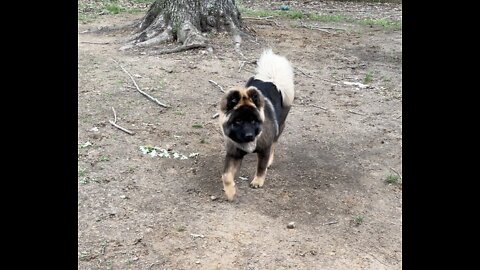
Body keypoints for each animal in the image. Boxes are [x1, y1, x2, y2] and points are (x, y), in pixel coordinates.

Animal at [219, 49, 294, 200]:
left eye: (253, 121)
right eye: (238, 121)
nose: (249, 135)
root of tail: (271, 79)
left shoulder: (264, 149)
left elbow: (261, 167)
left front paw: (258, 181)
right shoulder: (233, 153)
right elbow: (226, 176)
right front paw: (230, 192)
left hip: (280, 126)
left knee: (274, 144)